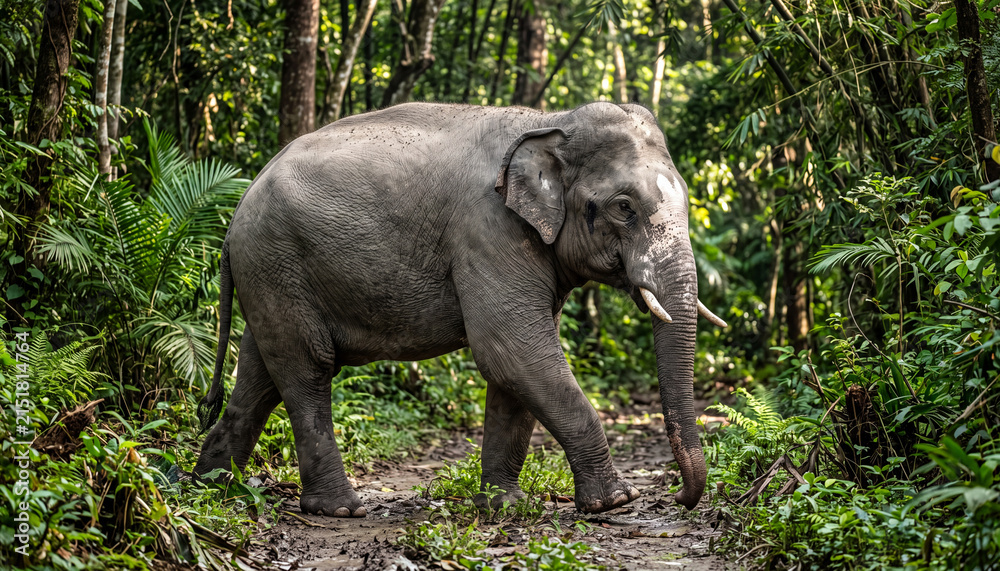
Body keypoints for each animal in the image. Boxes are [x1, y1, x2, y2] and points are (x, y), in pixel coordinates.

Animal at [194, 101, 728, 518]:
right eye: (624, 207)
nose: (678, 499)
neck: (551, 120)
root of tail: (236, 210)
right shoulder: (488, 229)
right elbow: (512, 349)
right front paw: (614, 502)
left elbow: (516, 366)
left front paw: (504, 506)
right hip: (276, 260)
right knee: (308, 367)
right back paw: (338, 509)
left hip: (269, 274)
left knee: (261, 373)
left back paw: (210, 487)